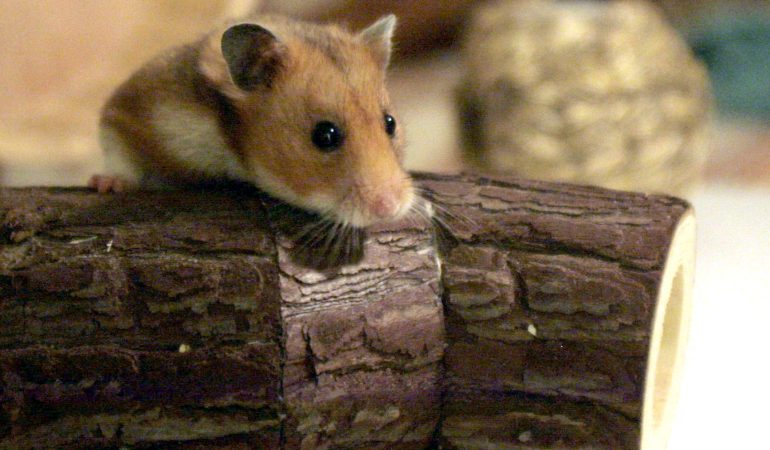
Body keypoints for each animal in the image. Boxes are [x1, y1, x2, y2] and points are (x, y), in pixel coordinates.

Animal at [89, 14, 415, 229]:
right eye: (325, 135)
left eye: (390, 123)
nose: (390, 208)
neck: (229, 145)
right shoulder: (126, 109)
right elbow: (116, 145)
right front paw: (106, 185)